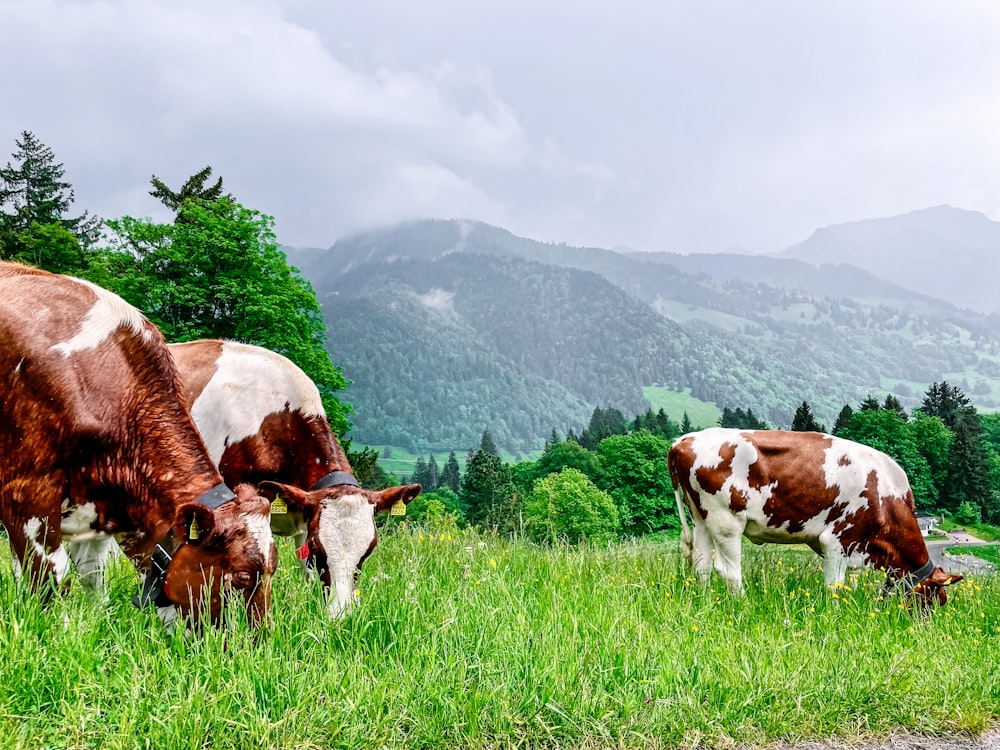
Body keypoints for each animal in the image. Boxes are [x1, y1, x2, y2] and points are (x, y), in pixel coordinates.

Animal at [0, 262, 278, 632]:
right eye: (243, 576)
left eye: (274, 568)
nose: (260, 639)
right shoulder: (26, 492)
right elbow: (48, 579)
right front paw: (51, 631)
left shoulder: (99, 510)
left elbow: (93, 576)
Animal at [668, 426, 964, 608]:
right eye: (934, 599)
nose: (923, 627)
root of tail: (683, 440)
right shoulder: (836, 540)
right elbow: (834, 585)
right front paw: (835, 614)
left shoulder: (856, 549)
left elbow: (850, 583)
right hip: (726, 522)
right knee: (729, 571)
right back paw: (743, 604)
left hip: (701, 518)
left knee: (702, 566)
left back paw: (705, 602)